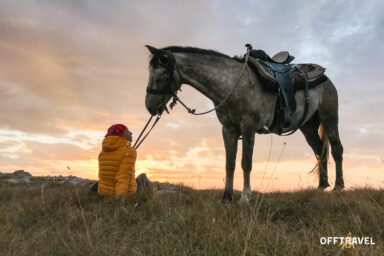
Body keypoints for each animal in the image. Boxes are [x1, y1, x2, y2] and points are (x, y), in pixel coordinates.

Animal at [145, 44, 344, 204]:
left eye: (160, 76)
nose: (149, 106)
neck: (232, 83)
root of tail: (325, 77)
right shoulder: (228, 130)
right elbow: (230, 164)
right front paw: (226, 197)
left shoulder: (248, 128)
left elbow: (245, 163)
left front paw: (245, 197)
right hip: (308, 126)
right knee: (319, 150)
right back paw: (322, 185)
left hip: (329, 119)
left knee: (336, 149)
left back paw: (338, 186)